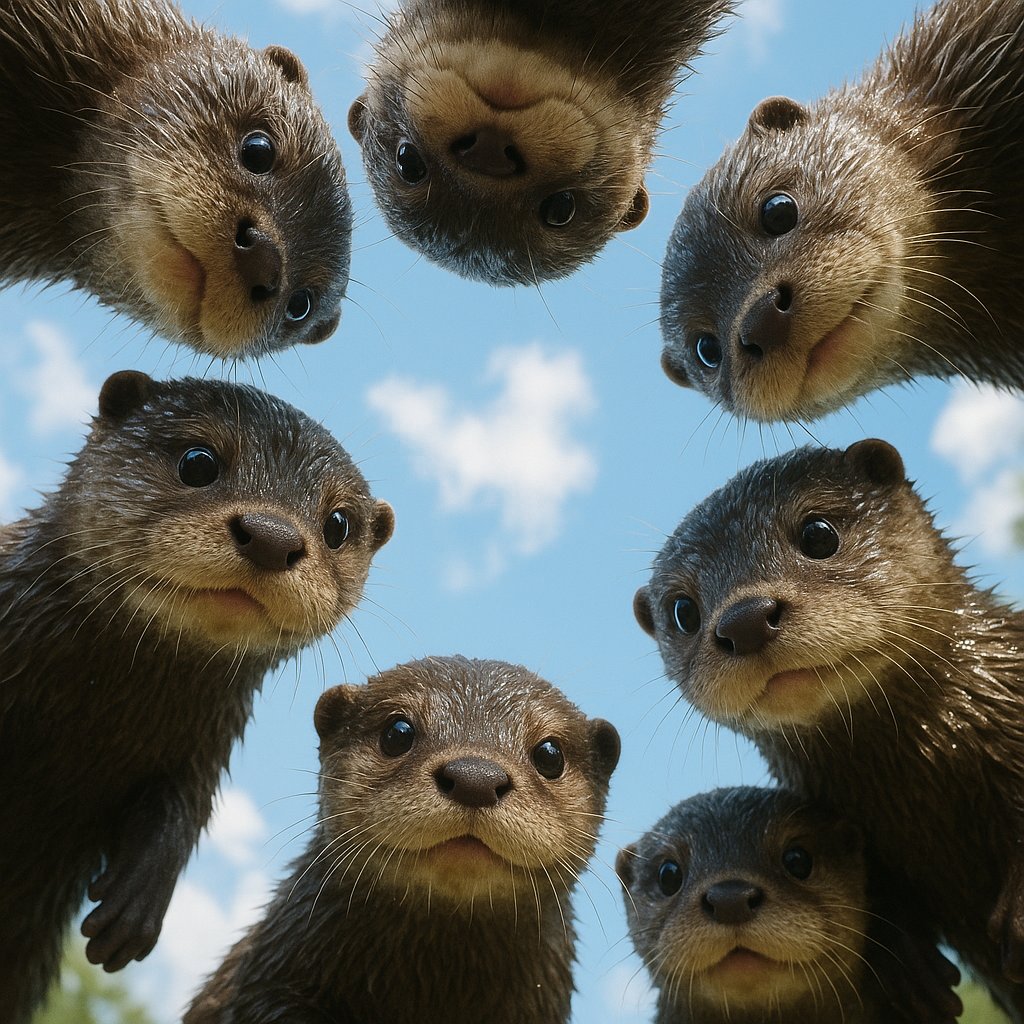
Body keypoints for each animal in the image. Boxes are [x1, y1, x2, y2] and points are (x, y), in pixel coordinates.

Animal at [0, 370, 394, 1024]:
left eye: (337, 523)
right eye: (199, 461)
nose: (272, 536)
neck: (81, 719)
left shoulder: (203, 744)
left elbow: (182, 807)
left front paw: (137, 900)